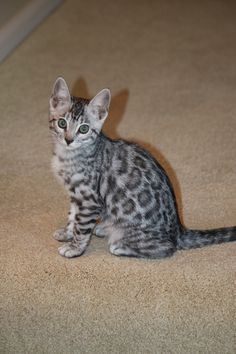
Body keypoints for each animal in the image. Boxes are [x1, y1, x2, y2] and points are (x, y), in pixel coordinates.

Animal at [48, 77, 235, 258]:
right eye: (62, 123)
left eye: (84, 129)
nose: (69, 140)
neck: (68, 156)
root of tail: (178, 231)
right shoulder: (76, 195)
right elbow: (73, 216)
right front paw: (67, 233)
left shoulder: (89, 199)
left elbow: (81, 227)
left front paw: (75, 248)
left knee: (167, 248)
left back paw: (119, 244)